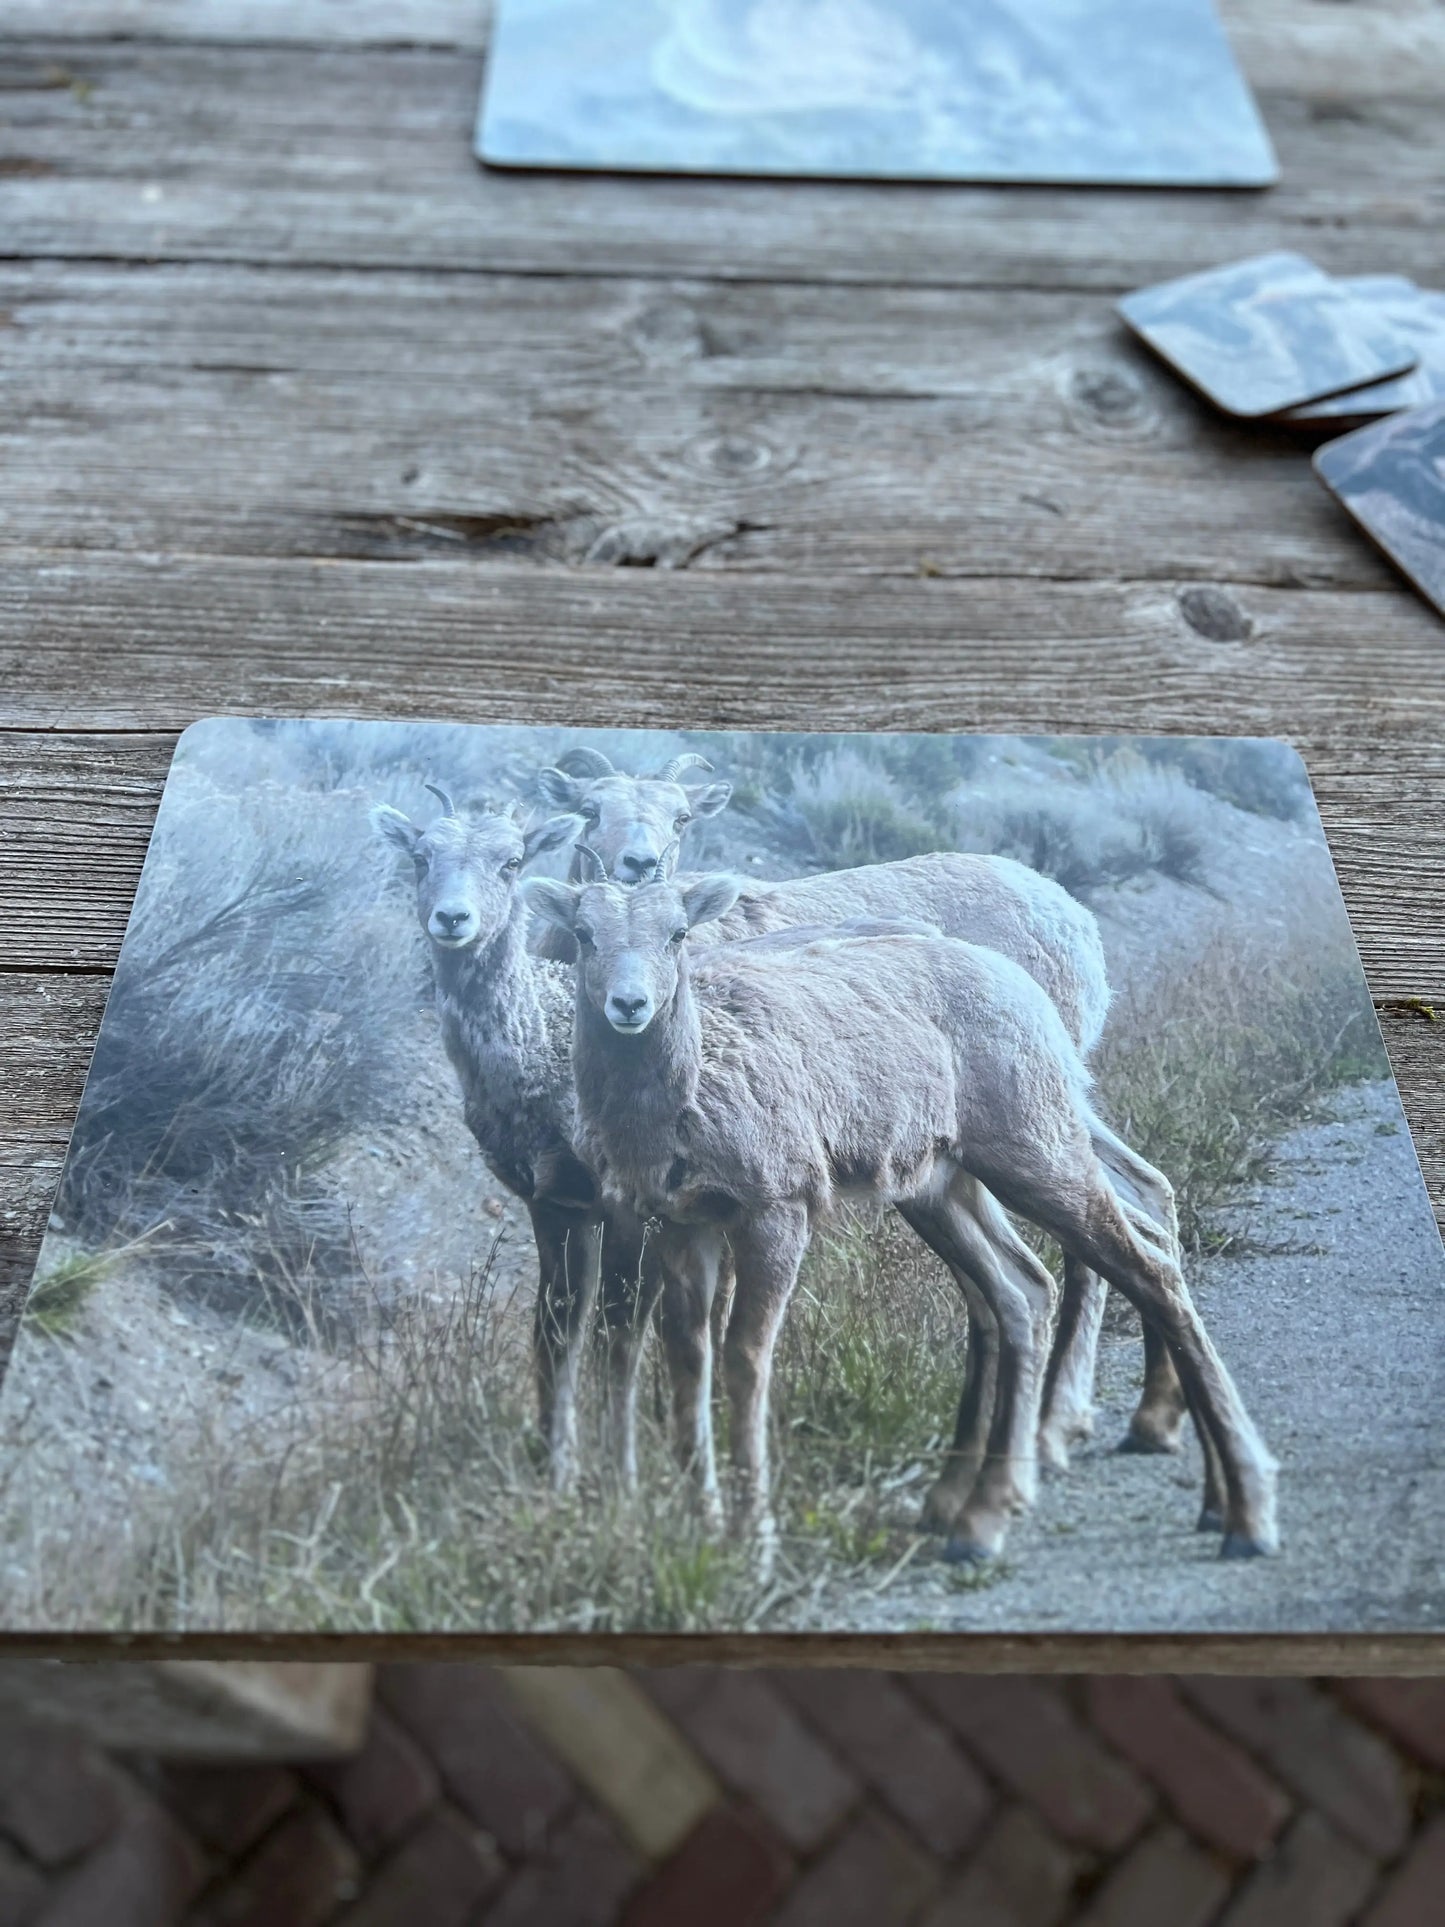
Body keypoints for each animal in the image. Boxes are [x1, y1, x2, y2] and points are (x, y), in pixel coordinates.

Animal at [526, 871, 1279, 1567]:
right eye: (585, 935)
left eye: (677, 933)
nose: (629, 1004)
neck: (686, 1092)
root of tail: (1028, 984)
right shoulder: (686, 1226)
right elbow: (688, 1360)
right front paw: (701, 1528)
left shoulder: (776, 1213)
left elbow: (744, 1359)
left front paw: (752, 1541)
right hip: (942, 1189)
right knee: (1023, 1289)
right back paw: (981, 1522)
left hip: (1037, 1155)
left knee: (1149, 1273)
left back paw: (1243, 1511)